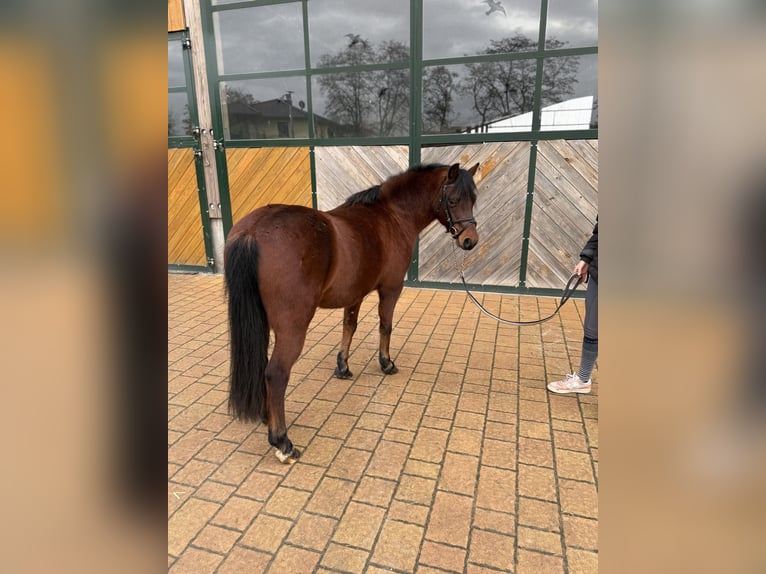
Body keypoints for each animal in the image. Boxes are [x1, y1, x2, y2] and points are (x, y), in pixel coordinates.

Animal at [225, 162, 484, 464]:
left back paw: (268, 418)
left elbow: (349, 327)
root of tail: (253, 232)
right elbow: (385, 326)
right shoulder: (390, 289)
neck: (391, 216)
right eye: (453, 200)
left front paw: (343, 367)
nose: (470, 241)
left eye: (473, 199)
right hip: (292, 328)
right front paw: (386, 363)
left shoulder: (354, 295)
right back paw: (282, 442)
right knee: (276, 373)